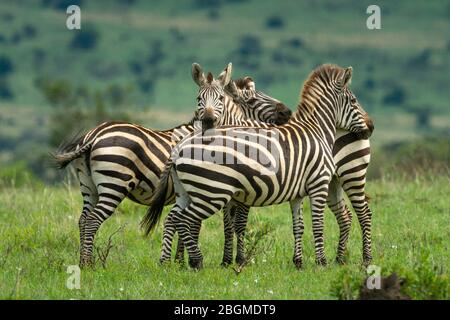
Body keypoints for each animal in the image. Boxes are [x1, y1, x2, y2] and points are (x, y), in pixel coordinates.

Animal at [54, 62, 292, 268]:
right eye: (251, 100)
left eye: (220, 98)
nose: (287, 112)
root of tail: (93, 135)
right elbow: (231, 224)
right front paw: (232, 261)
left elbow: (203, 224)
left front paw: (182, 260)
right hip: (114, 183)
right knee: (93, 220)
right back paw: (88, 264)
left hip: (89, 187)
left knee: (83, 220)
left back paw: (84, 262)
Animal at [143, 63, 372, 268]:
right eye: (354, 100)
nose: (371, 127)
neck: (316, 130)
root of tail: (179, 147)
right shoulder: (318, 183)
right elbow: (317, 224)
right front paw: (321, 263)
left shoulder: (298, 191)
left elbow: (298, 226)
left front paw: (298, 262)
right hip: (212, 192)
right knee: (183, 220)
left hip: (187, 192)